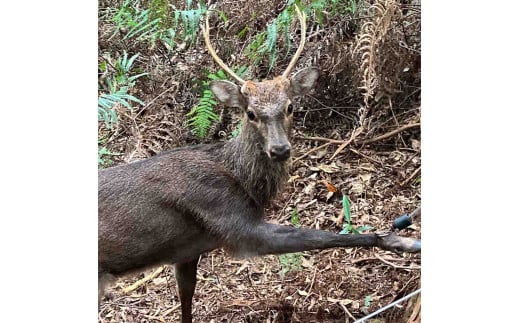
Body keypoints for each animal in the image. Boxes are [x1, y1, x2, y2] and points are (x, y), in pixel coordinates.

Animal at [98, 5, 422, 323]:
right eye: (251, 113)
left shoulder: (188, 250)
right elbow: (321, 236)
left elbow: (186, 299)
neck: (240, 179)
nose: (279, 149)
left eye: (290, 107)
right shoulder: (232, 221)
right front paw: (400, 242)